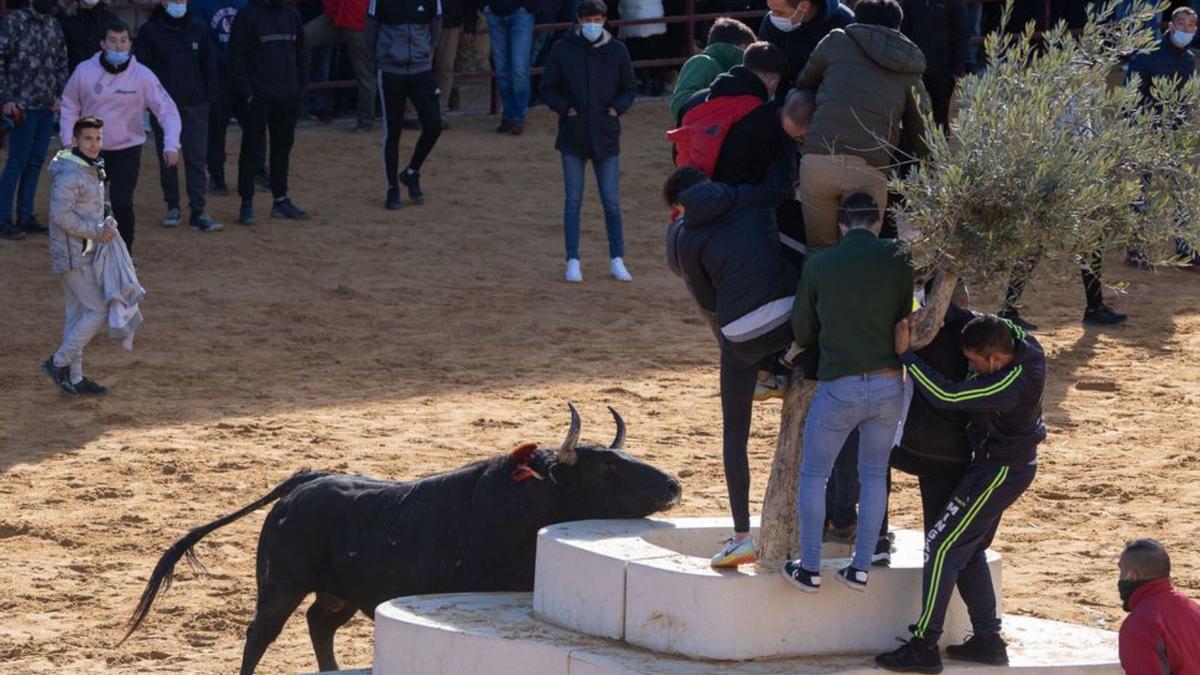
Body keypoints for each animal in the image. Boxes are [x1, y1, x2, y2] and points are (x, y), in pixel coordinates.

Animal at [121, 403, 686, 672]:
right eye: (606, 469)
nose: (673, 485)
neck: (526, 506)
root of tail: (304, 482)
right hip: (279, 586)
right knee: (260, 634)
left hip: (342, 594)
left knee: (319, 625)